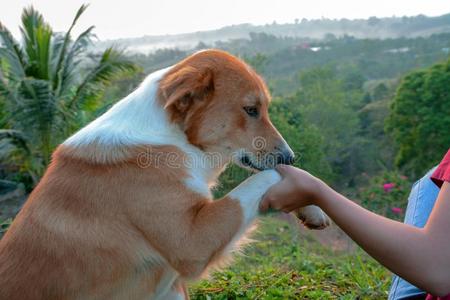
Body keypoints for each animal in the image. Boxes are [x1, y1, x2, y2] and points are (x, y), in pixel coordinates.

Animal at [0, 49, 330, 300]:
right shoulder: (193, 243)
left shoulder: (172, 288)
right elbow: (265, 177)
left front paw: (312, 207)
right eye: (251, 109)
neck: (172, 137)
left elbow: (273, 175)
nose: (290, 155)